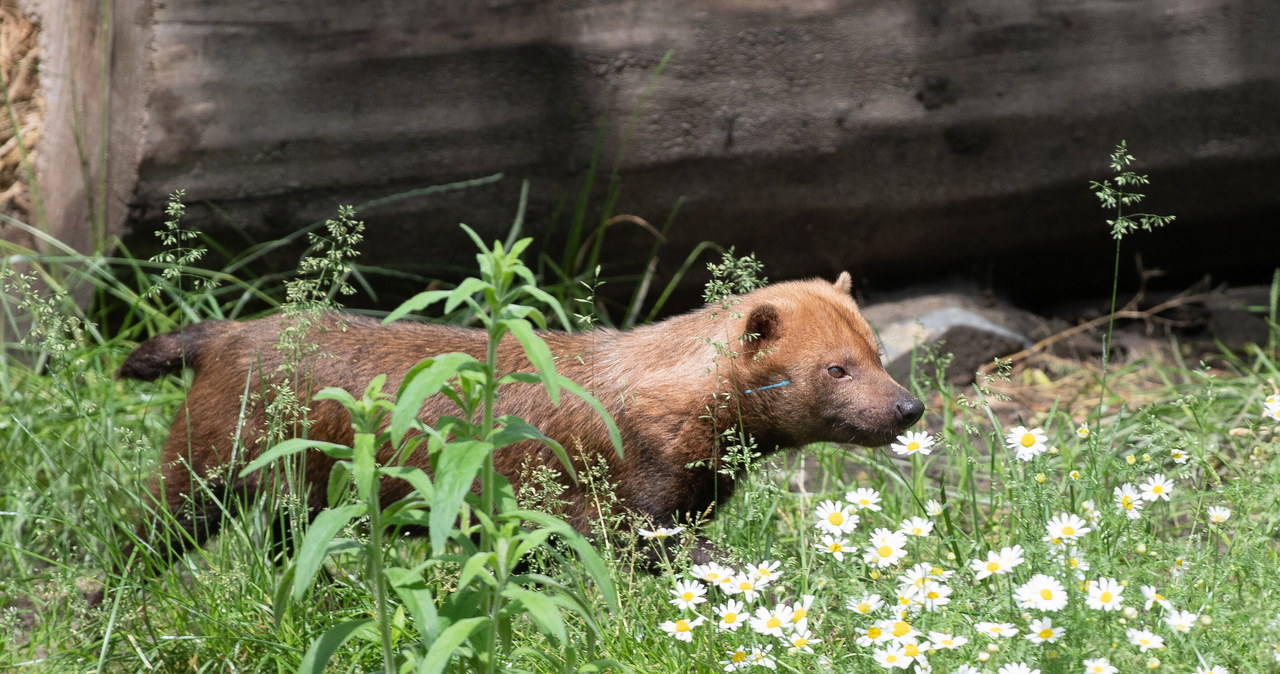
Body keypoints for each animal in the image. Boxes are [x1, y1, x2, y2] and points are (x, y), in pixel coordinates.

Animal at [112, 271, 921, 583]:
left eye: (878, 352)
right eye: (836, 368)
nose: (908, 408)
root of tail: (222, 333)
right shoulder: (622, 508)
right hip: (203, 467)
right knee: (144, 529)